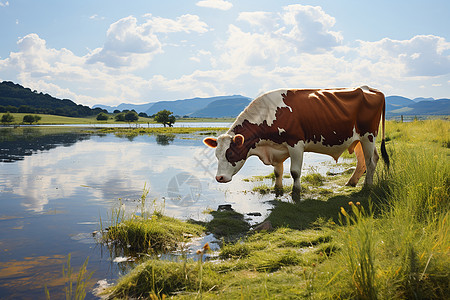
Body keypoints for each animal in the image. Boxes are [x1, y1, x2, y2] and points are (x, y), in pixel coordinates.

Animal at [204, 85, 390, 200]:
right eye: (216, 155)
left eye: (231, 153)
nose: (219, 177)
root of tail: (369, 88)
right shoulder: (276, 148)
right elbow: (277, 172)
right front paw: (277, 190)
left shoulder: (296, 144)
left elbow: (294, 172)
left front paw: (295, 192)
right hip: (358, 139)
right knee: (365, 160)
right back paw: (351, 182)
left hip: (368, 136)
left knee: (370, 161)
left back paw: (367, 186)